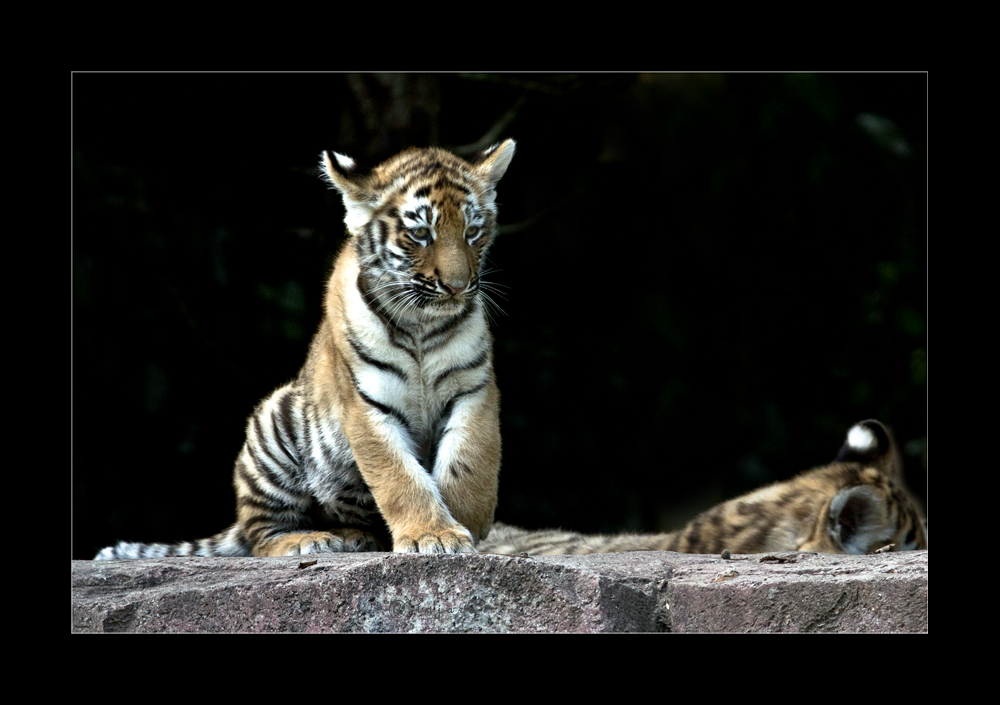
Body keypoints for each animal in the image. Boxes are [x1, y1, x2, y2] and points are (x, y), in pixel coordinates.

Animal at [95, 140, 516, 560]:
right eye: (421, 234)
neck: (420, 324)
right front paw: (434, 533)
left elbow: (469, 461)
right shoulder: (365, 403)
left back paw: (354, 536)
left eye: (473, 232)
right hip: (273, 425)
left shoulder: (473, 388)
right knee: (261, 536)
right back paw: (312, 540)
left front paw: (466, 527)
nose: (458, 287)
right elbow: (399, 477)